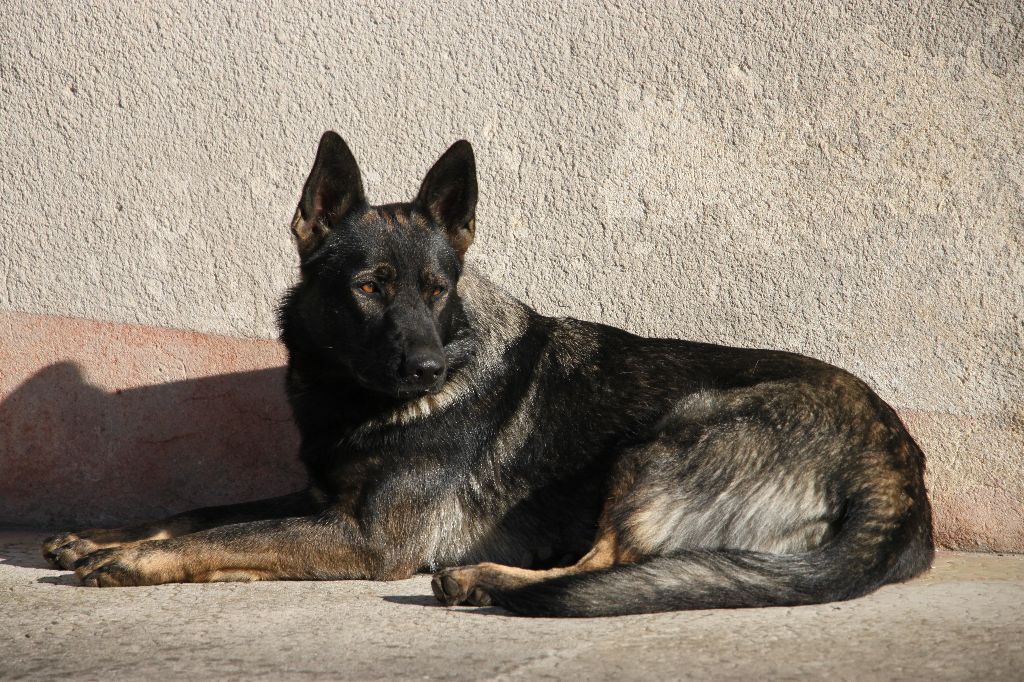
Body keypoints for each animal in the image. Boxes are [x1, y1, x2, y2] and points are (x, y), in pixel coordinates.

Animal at [41, 133, 937, 614]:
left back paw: (480, 581)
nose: (429, 365)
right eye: (370, 288)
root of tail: (897, 473)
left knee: (604, 568)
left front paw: (128, 561)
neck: (361, 400)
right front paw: (106, 535)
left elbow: (230, 534)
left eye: (438, 290)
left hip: (675, 430)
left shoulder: (365, 539)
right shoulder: (319, 499)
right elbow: (205, 512)